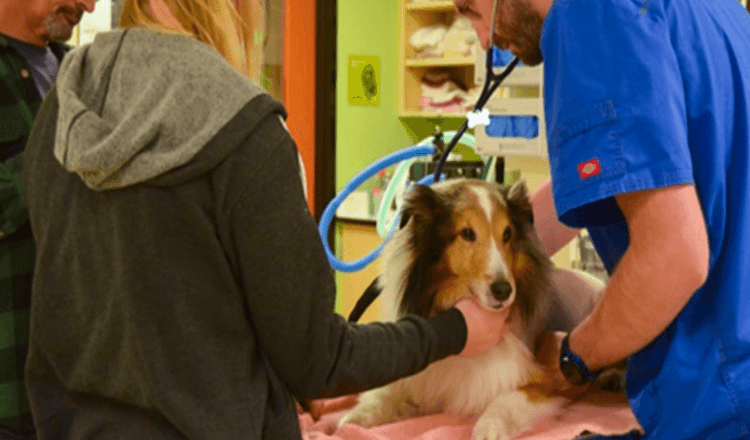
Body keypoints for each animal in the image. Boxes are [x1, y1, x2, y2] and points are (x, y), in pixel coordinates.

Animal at [338, 178, 608, 440]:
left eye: (507, 234)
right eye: (467, 233)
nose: (503, 290)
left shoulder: (542, 380)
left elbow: (506, 400)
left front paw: (489, 428)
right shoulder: (418, 377)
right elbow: (384, 393)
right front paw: (353, 419)